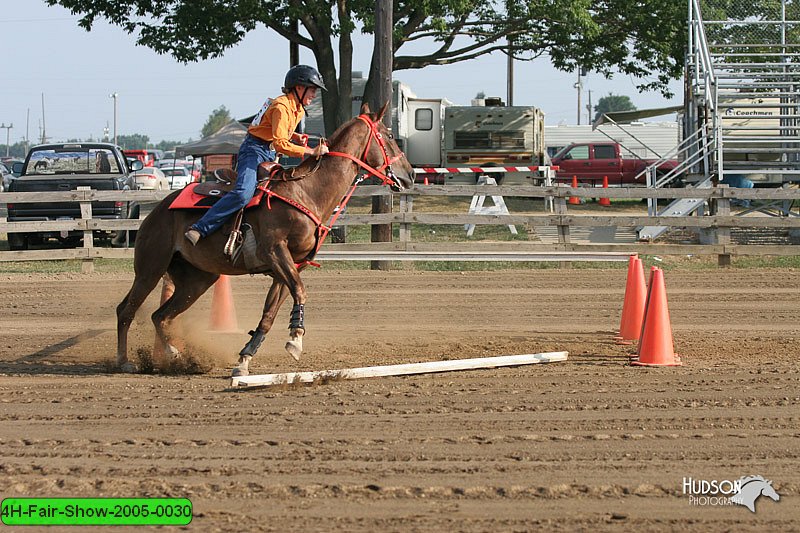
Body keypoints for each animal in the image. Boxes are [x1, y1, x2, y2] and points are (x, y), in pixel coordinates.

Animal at [115, 101, 416, 374]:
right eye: (389, 136)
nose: (411, 174)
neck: (306, 191)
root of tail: (156, 212)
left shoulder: (291, 265)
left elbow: (271, 312)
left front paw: (246, 358)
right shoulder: (275, 251)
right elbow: (300, 291)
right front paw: (296, 338)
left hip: (196, 280)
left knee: (160, 316)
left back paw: (174, 354)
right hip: (151, 268)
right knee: (126, 310)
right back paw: (125, 361)